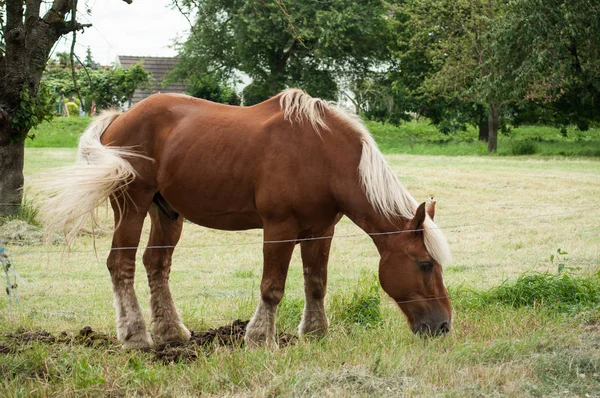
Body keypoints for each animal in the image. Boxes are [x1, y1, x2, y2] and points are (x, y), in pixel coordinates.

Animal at [42, 89, 452, 348]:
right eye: (425, 263)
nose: (444, 325)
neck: (323, 155)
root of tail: (121, 117)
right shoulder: (280, 227)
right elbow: (272, 287)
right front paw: (259, 338)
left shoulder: (321, 230)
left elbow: (316, 284)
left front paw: (315, 334)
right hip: (133, 205)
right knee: (121, 265)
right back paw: (136, 336)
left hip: (166, 212)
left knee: (155, 265)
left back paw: (170, 333)